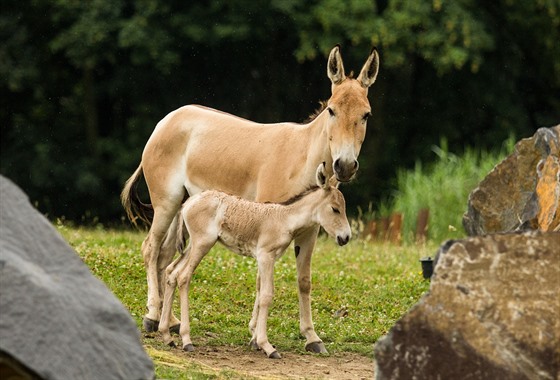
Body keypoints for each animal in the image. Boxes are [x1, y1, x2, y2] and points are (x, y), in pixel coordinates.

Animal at [158, 164, 350, 360]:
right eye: (335, 209)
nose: (346, 238)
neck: (284, 219)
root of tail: (188, 203)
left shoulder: (266, 259)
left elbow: (259, 291)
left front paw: (256, 340)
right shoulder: (266, 256)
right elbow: (266, 295)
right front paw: (267, 346)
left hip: (194, 246)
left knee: (171, 272)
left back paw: (167, 336)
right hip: (202, 244)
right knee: (183, 277)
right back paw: (186, 339)